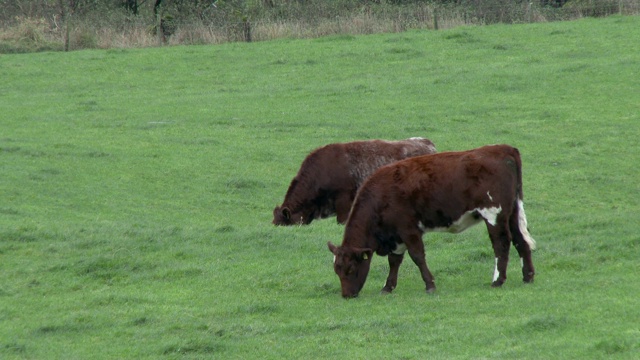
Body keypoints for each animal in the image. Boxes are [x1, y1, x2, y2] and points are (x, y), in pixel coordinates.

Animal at [328, 144, 536, 298]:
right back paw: (528, 276)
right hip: (512, 212)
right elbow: (394, 260)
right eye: (337, 270)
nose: (346, 295)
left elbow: (417, 256)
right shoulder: (396, 235)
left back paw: (497, 280)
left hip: (494, 214)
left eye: (350, 268)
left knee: (501, 244)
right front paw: (388, 287)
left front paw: (429, 284)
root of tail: (502, 148)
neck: (380, 195)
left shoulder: (408, 229)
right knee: (520, 241)